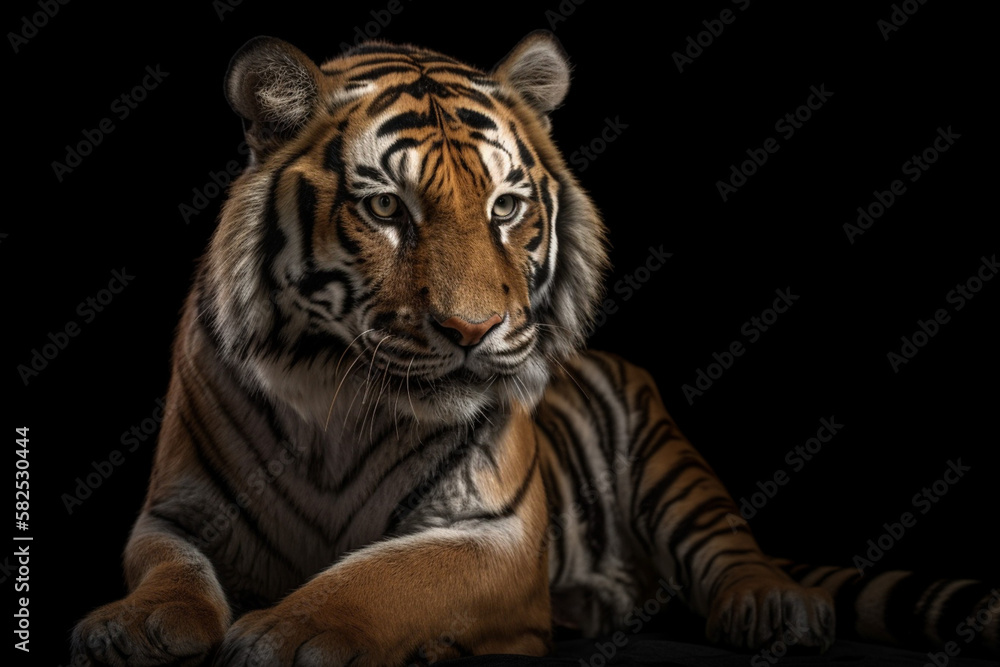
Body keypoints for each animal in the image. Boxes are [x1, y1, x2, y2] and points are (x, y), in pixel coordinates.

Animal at [72, 32, 998, 666]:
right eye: (386, 209)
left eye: (507, 207)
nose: (472, 330)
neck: (335, 395)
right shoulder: (174, 508)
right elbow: (170, 567)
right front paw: (137, 622)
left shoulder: (497, 532)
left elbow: (386, 574)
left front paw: (292, 628)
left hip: (670, 461)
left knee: (728, 546)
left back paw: (772, 606)